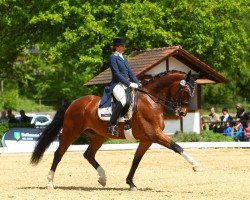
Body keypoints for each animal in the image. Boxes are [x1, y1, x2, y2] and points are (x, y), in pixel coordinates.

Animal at [31, 70, 202, 191]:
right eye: (186, 92)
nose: (182, 113)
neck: (151, 101)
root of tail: (73, 102)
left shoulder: (147, 139)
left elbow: (136, 160)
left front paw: (131, 183)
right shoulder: (155, 135)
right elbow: (177, 147)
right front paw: (196, 165)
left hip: (98, 136)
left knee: (88, 154)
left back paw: (103, 178)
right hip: (70, 132)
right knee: (58, 154)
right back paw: (50, 182)